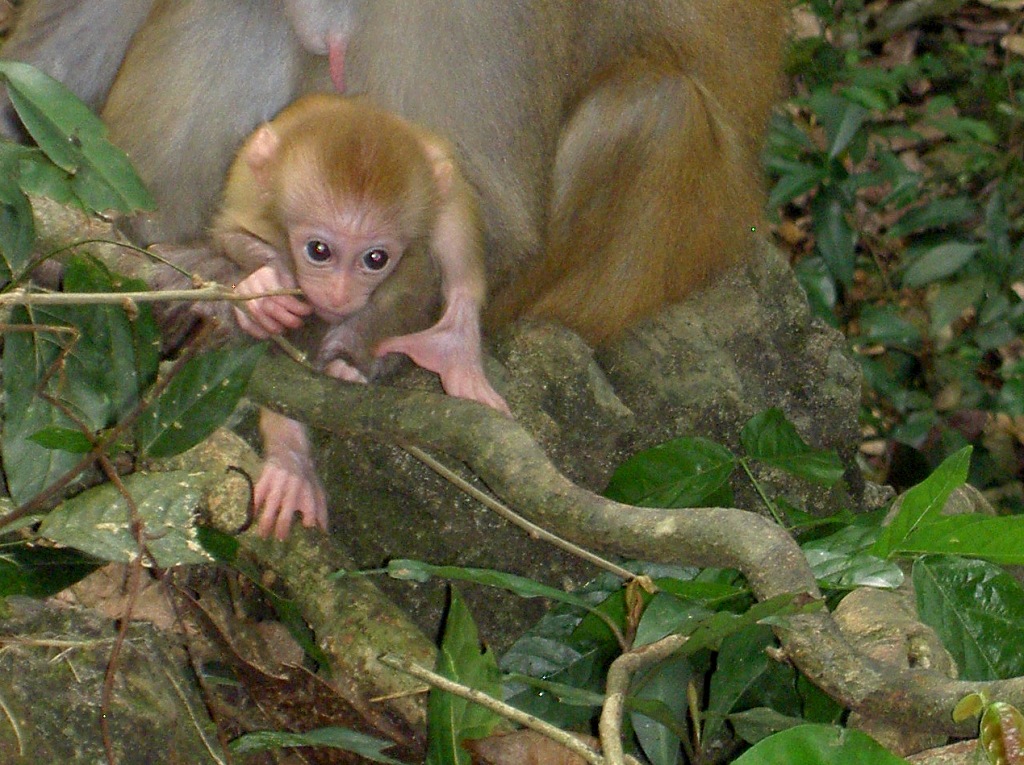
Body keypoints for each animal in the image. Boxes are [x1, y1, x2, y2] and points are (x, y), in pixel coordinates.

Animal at [214, 94, 505, 536]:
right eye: (319, 251)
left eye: (375, 258)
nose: (339, 294)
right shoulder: (250, 193)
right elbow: (229, 235)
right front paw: (260, 291)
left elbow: (435, 262)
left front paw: (350, 355)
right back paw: (290, 459)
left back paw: (445, 348)